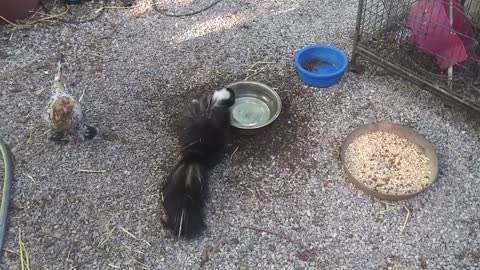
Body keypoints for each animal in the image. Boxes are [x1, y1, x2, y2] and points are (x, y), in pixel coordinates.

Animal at [162, 87, 235, 238]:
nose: (234, 95)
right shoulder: (223, 121)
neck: (215, 102)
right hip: (213, 149)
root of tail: (193, 158)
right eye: (233, 96)